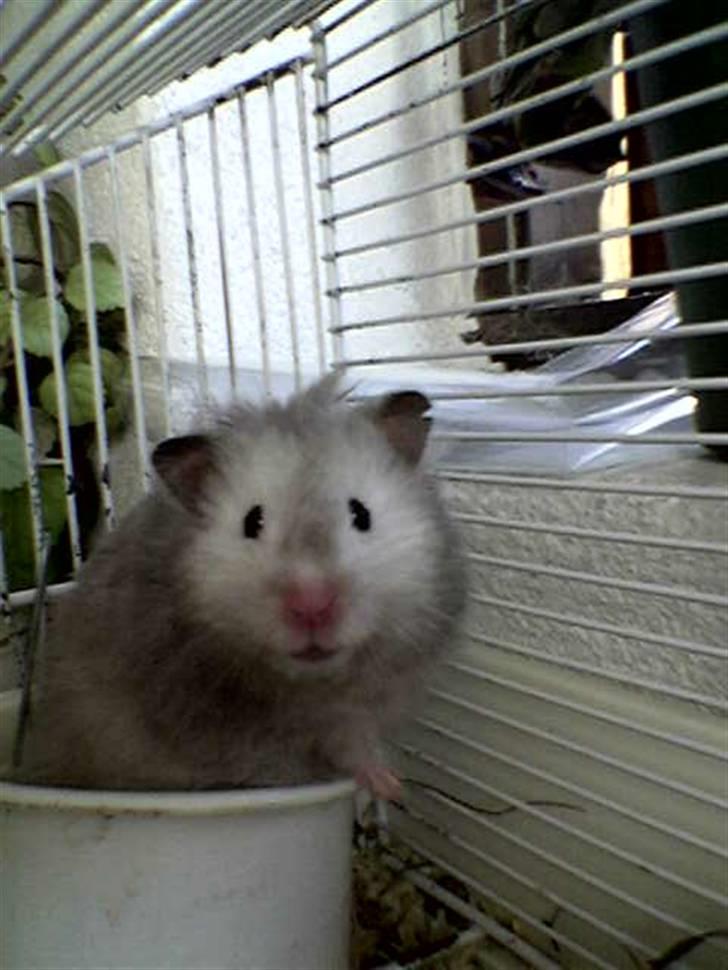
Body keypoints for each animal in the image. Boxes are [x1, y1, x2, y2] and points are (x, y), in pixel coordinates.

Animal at [17, 376, 466, 796]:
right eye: (252, 522)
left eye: (361, 515)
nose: (312, 606)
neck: (310, 686)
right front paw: (387, 789)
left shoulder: (367, 701)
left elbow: (357, 742)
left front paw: (390, 786)